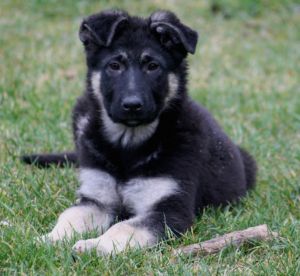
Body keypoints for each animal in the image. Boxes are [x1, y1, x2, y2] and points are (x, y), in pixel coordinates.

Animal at [24, 9, 258, 256]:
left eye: (153, 66)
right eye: (114, 65)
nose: (132, 105)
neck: (127, 146)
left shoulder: (169, 210)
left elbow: (124, 227)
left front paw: (94, 245)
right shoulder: (96, 200)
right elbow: (71, 216)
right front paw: (49, 239)